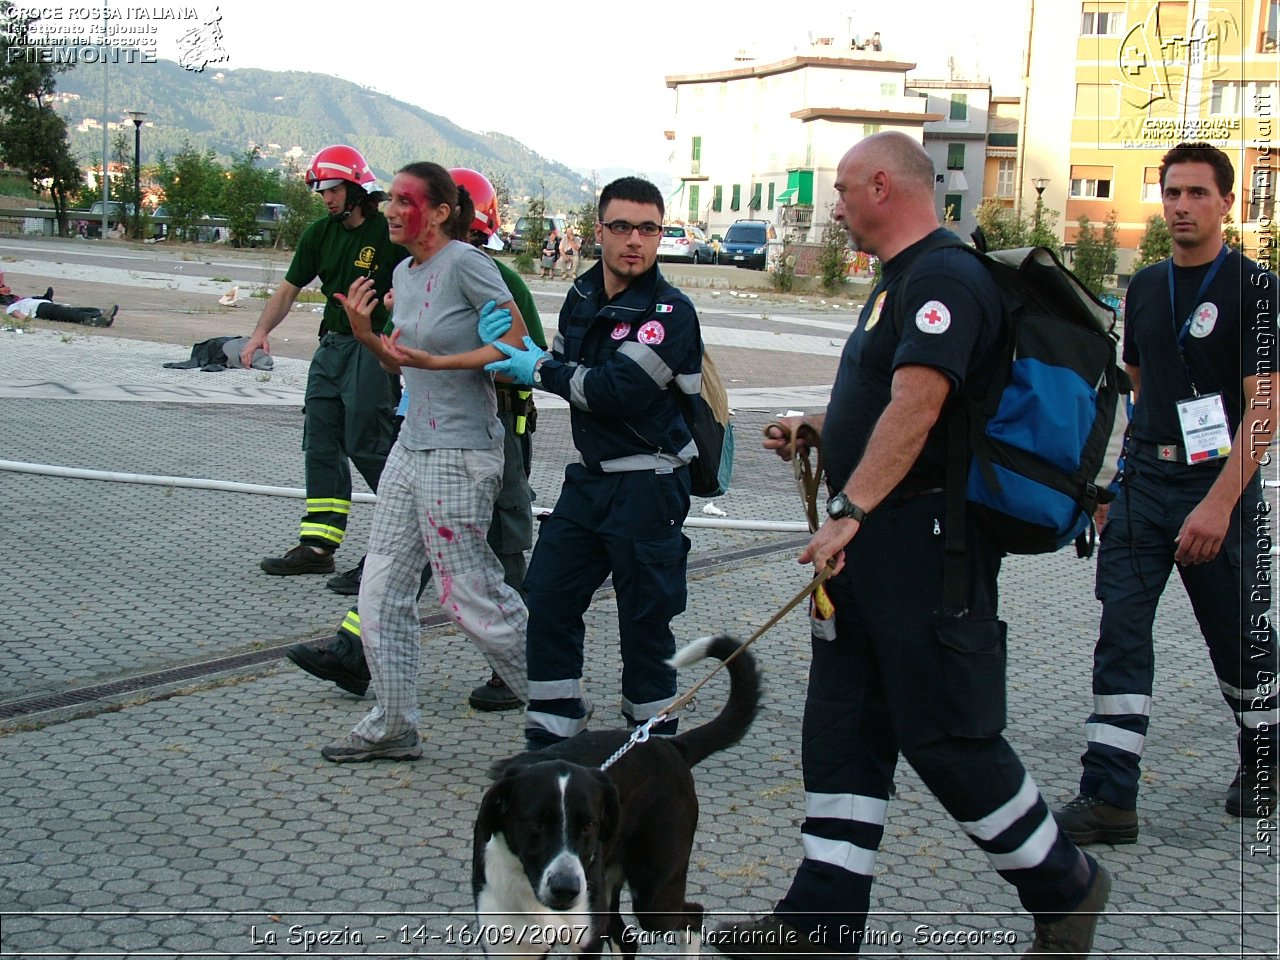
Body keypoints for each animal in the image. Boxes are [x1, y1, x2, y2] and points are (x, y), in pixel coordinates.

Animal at [478, 634, 757, 957]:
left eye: (589, 824)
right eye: (535, 822)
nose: (566, 887)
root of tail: (670, 746)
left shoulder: (586, 934)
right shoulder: (509, 940)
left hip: (654, 892)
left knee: (692, 915)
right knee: (627, 938)